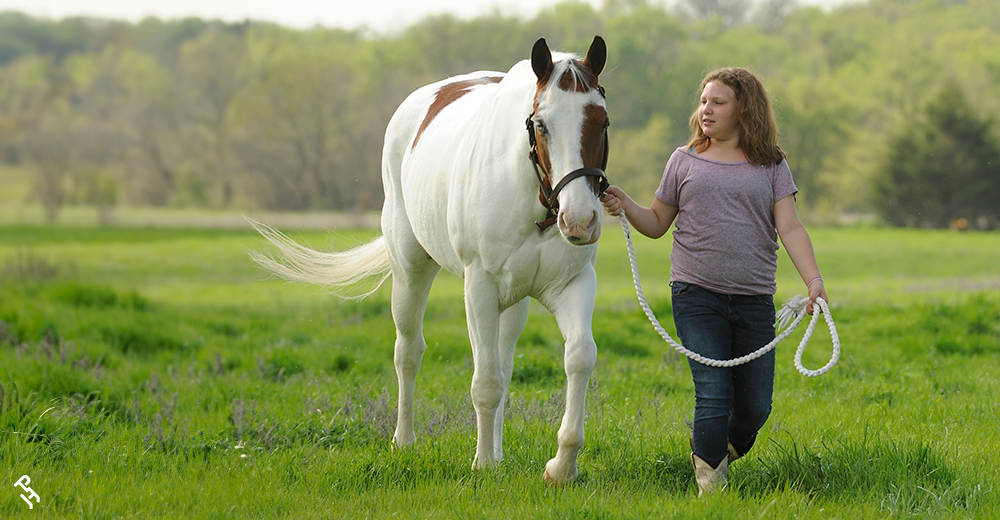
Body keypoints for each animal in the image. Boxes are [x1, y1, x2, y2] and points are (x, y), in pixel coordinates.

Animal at [250, 37, 608, 488]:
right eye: (541, 125)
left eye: (602, 122)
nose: (580, 220)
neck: (535, 201)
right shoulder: (478, 287)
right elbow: (484, 381)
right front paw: (482, 465)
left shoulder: (573, 285)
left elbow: (578, 358)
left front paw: (561, 466)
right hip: (410, 271)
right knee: (409, 352)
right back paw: (404, 441)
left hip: (514, 302)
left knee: (504, 361)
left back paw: (498, 451)